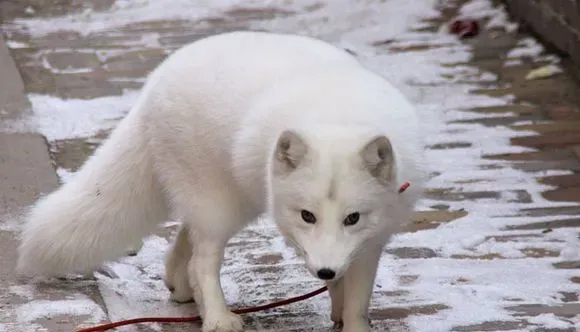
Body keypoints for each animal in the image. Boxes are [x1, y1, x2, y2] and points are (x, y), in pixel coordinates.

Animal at [17, 31, 426, 332]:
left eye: (352, 218)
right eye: (307, 216)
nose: (324, 270)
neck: (337, 117)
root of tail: (153, 86)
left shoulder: (371, 239)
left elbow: (355, 294)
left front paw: (345, 315)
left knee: (185, 241)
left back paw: (180, 288)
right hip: (221, 205)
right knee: (201, 261)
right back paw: (216, 318)